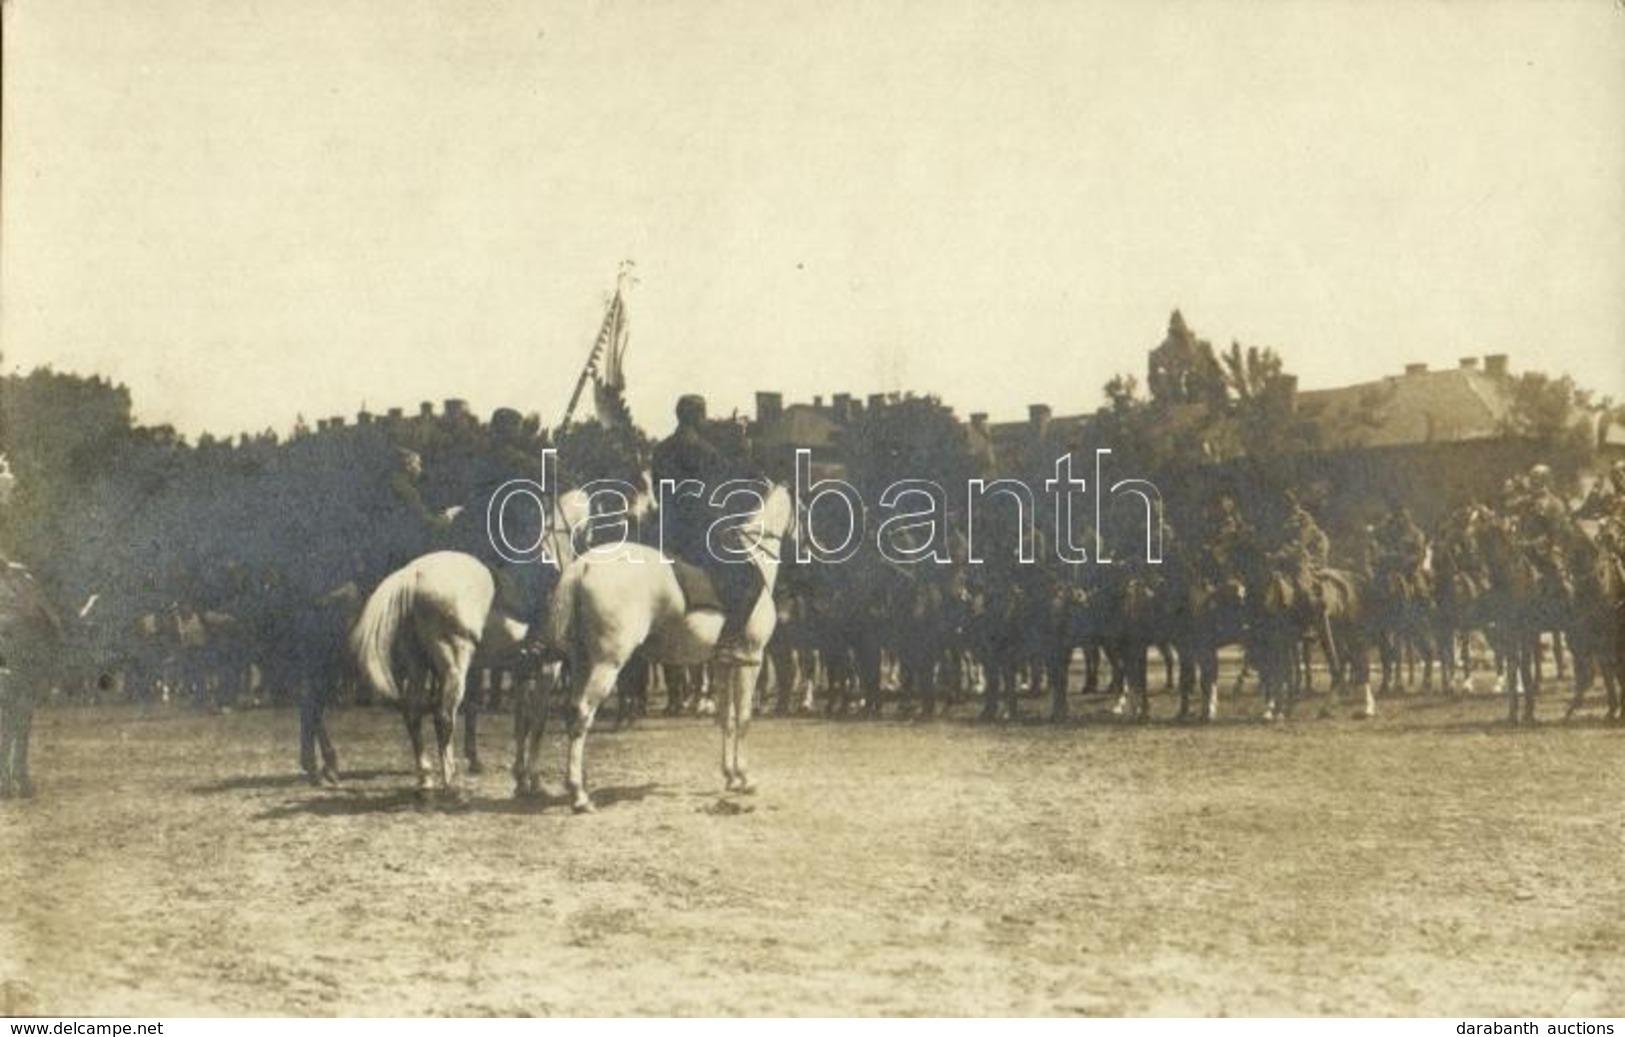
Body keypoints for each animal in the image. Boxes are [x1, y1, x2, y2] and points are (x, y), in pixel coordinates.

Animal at [546, 484, 799, 815]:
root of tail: (584, 564)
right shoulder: (751, 660)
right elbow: (743, 718)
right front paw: (745, 778)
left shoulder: (723, 663)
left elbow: (726, 718)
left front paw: (730, 776)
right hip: (607, 663)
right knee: (583, 713)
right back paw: (580, 796)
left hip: (582, 662)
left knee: (572, 712)